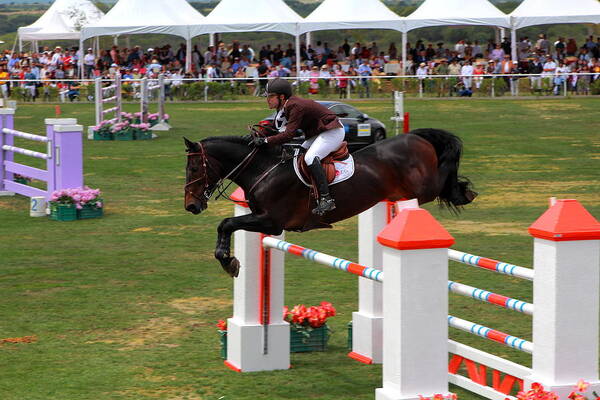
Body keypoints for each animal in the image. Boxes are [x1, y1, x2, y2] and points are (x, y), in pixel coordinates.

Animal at [185, 130, 476, 276]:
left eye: (194, 169)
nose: (191, 207)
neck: (264, 169)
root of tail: (416, 137)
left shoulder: (271, 222)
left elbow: (226, 223)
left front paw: (228, 261)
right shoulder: (264, 221)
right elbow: (226, 224)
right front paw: (227, 260)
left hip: (425, 187)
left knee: (444, 175)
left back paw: (463, 192)